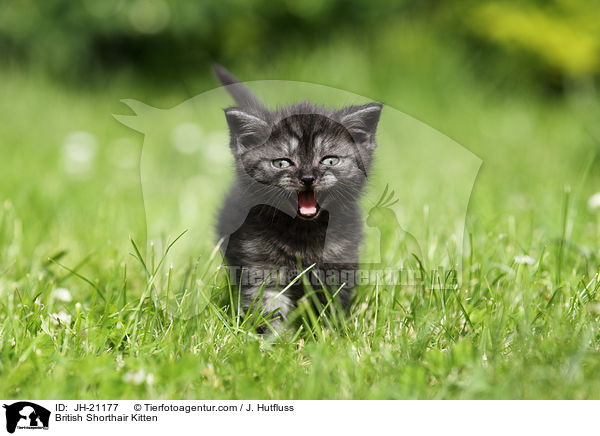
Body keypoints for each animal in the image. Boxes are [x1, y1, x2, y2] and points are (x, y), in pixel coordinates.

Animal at [216, 65, 382, 330]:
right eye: (282, 162)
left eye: (330, 160)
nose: (307, 178)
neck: (303, 232)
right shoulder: (260, 267)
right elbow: (269, 309)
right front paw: (271, 339)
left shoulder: (339, 266)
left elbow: (330, 308)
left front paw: (330, 335)